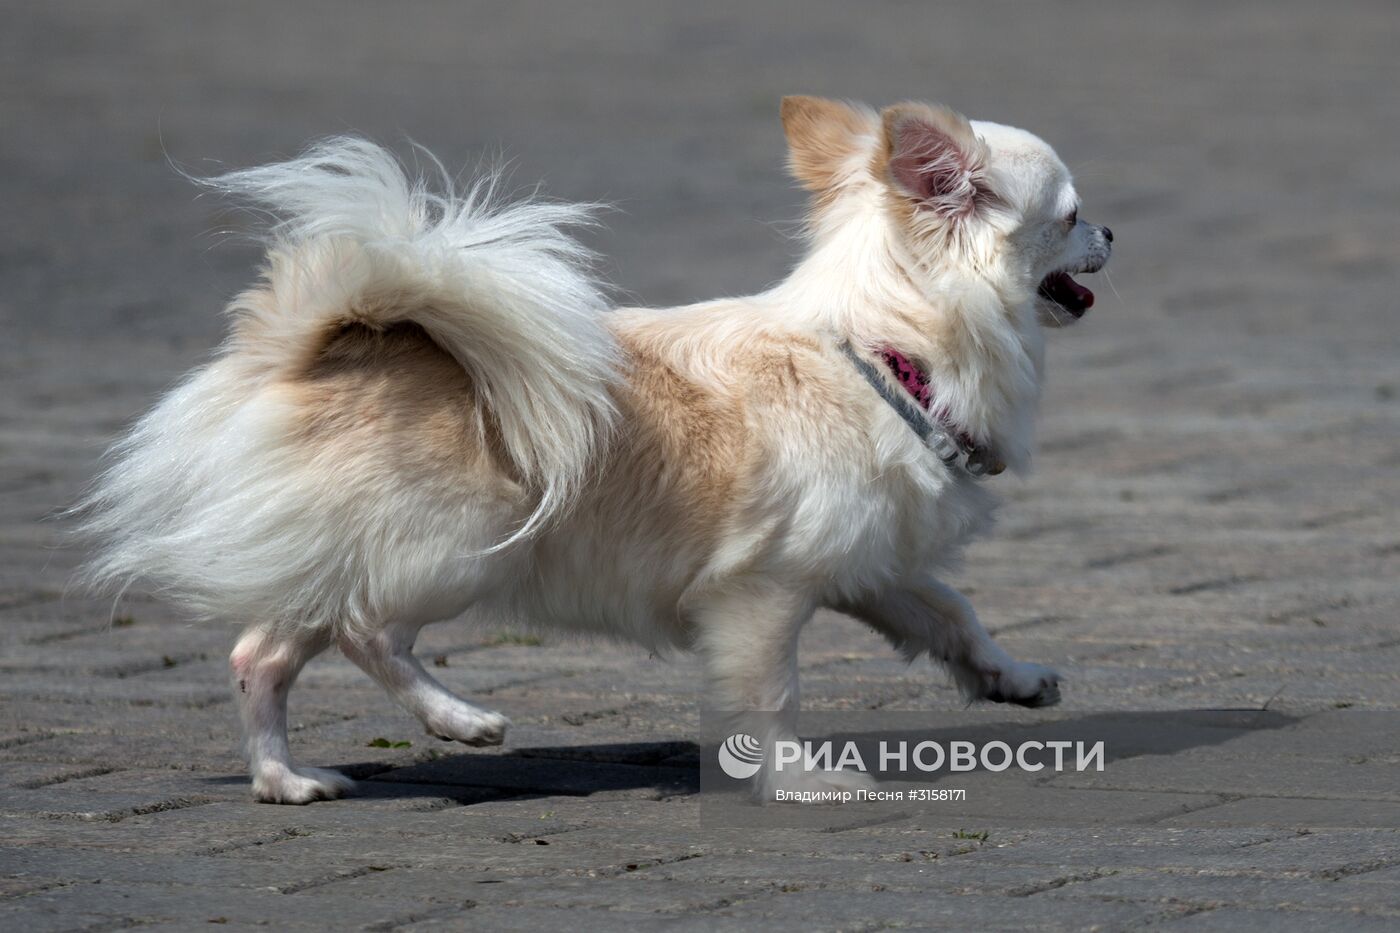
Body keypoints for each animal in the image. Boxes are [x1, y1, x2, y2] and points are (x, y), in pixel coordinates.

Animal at [79, 98, 1114, 801]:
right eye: (1069, 216)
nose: (1111, 228)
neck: (881, 354)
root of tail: (315, 344)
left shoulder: (870, 565)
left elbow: (953, 613)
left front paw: (1015, 679)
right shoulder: (761, 594)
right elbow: (767, 693)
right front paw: (798, 778)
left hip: (352, 548)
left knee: (267, 649)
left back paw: (286, 779)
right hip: (454, 546)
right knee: (354, 631)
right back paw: (453, 720)